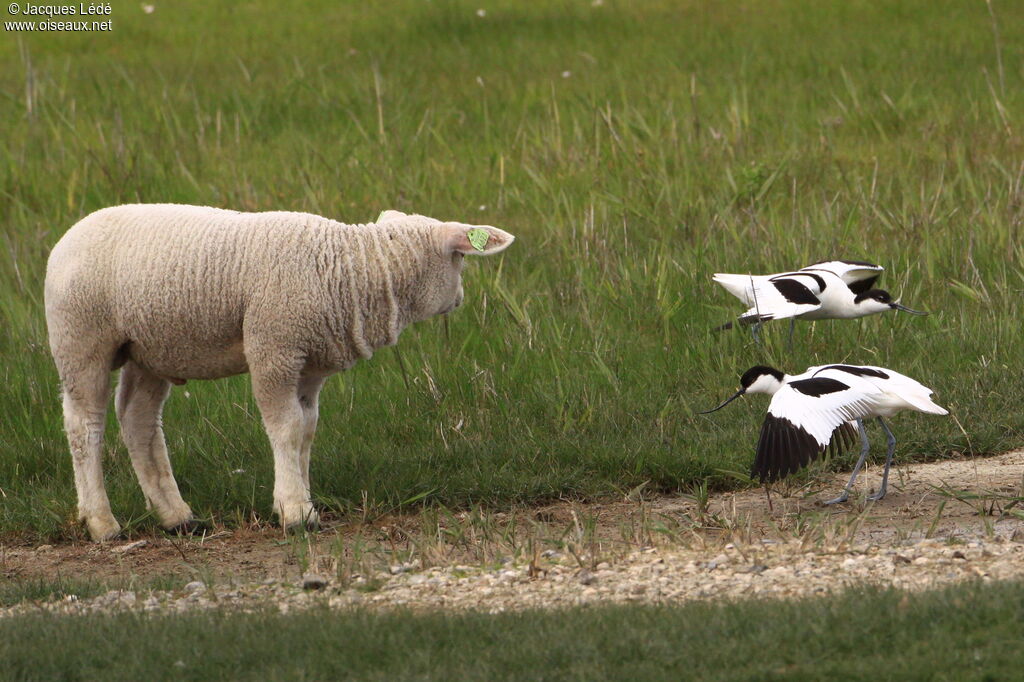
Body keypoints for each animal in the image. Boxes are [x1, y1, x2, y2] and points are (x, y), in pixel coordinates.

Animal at [44, 204, 516, 540]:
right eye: (458, 258)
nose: (460, 298)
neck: (353, 269)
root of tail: (65, 240)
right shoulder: (274, 348)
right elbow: (286, 427)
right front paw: (294, 512)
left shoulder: (311, 365)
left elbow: (306, 429)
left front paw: (303, 499)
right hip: (81, 338)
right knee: (84, 425)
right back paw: (102, 523)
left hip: (151, 350)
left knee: (139, 421)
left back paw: (177, 517)